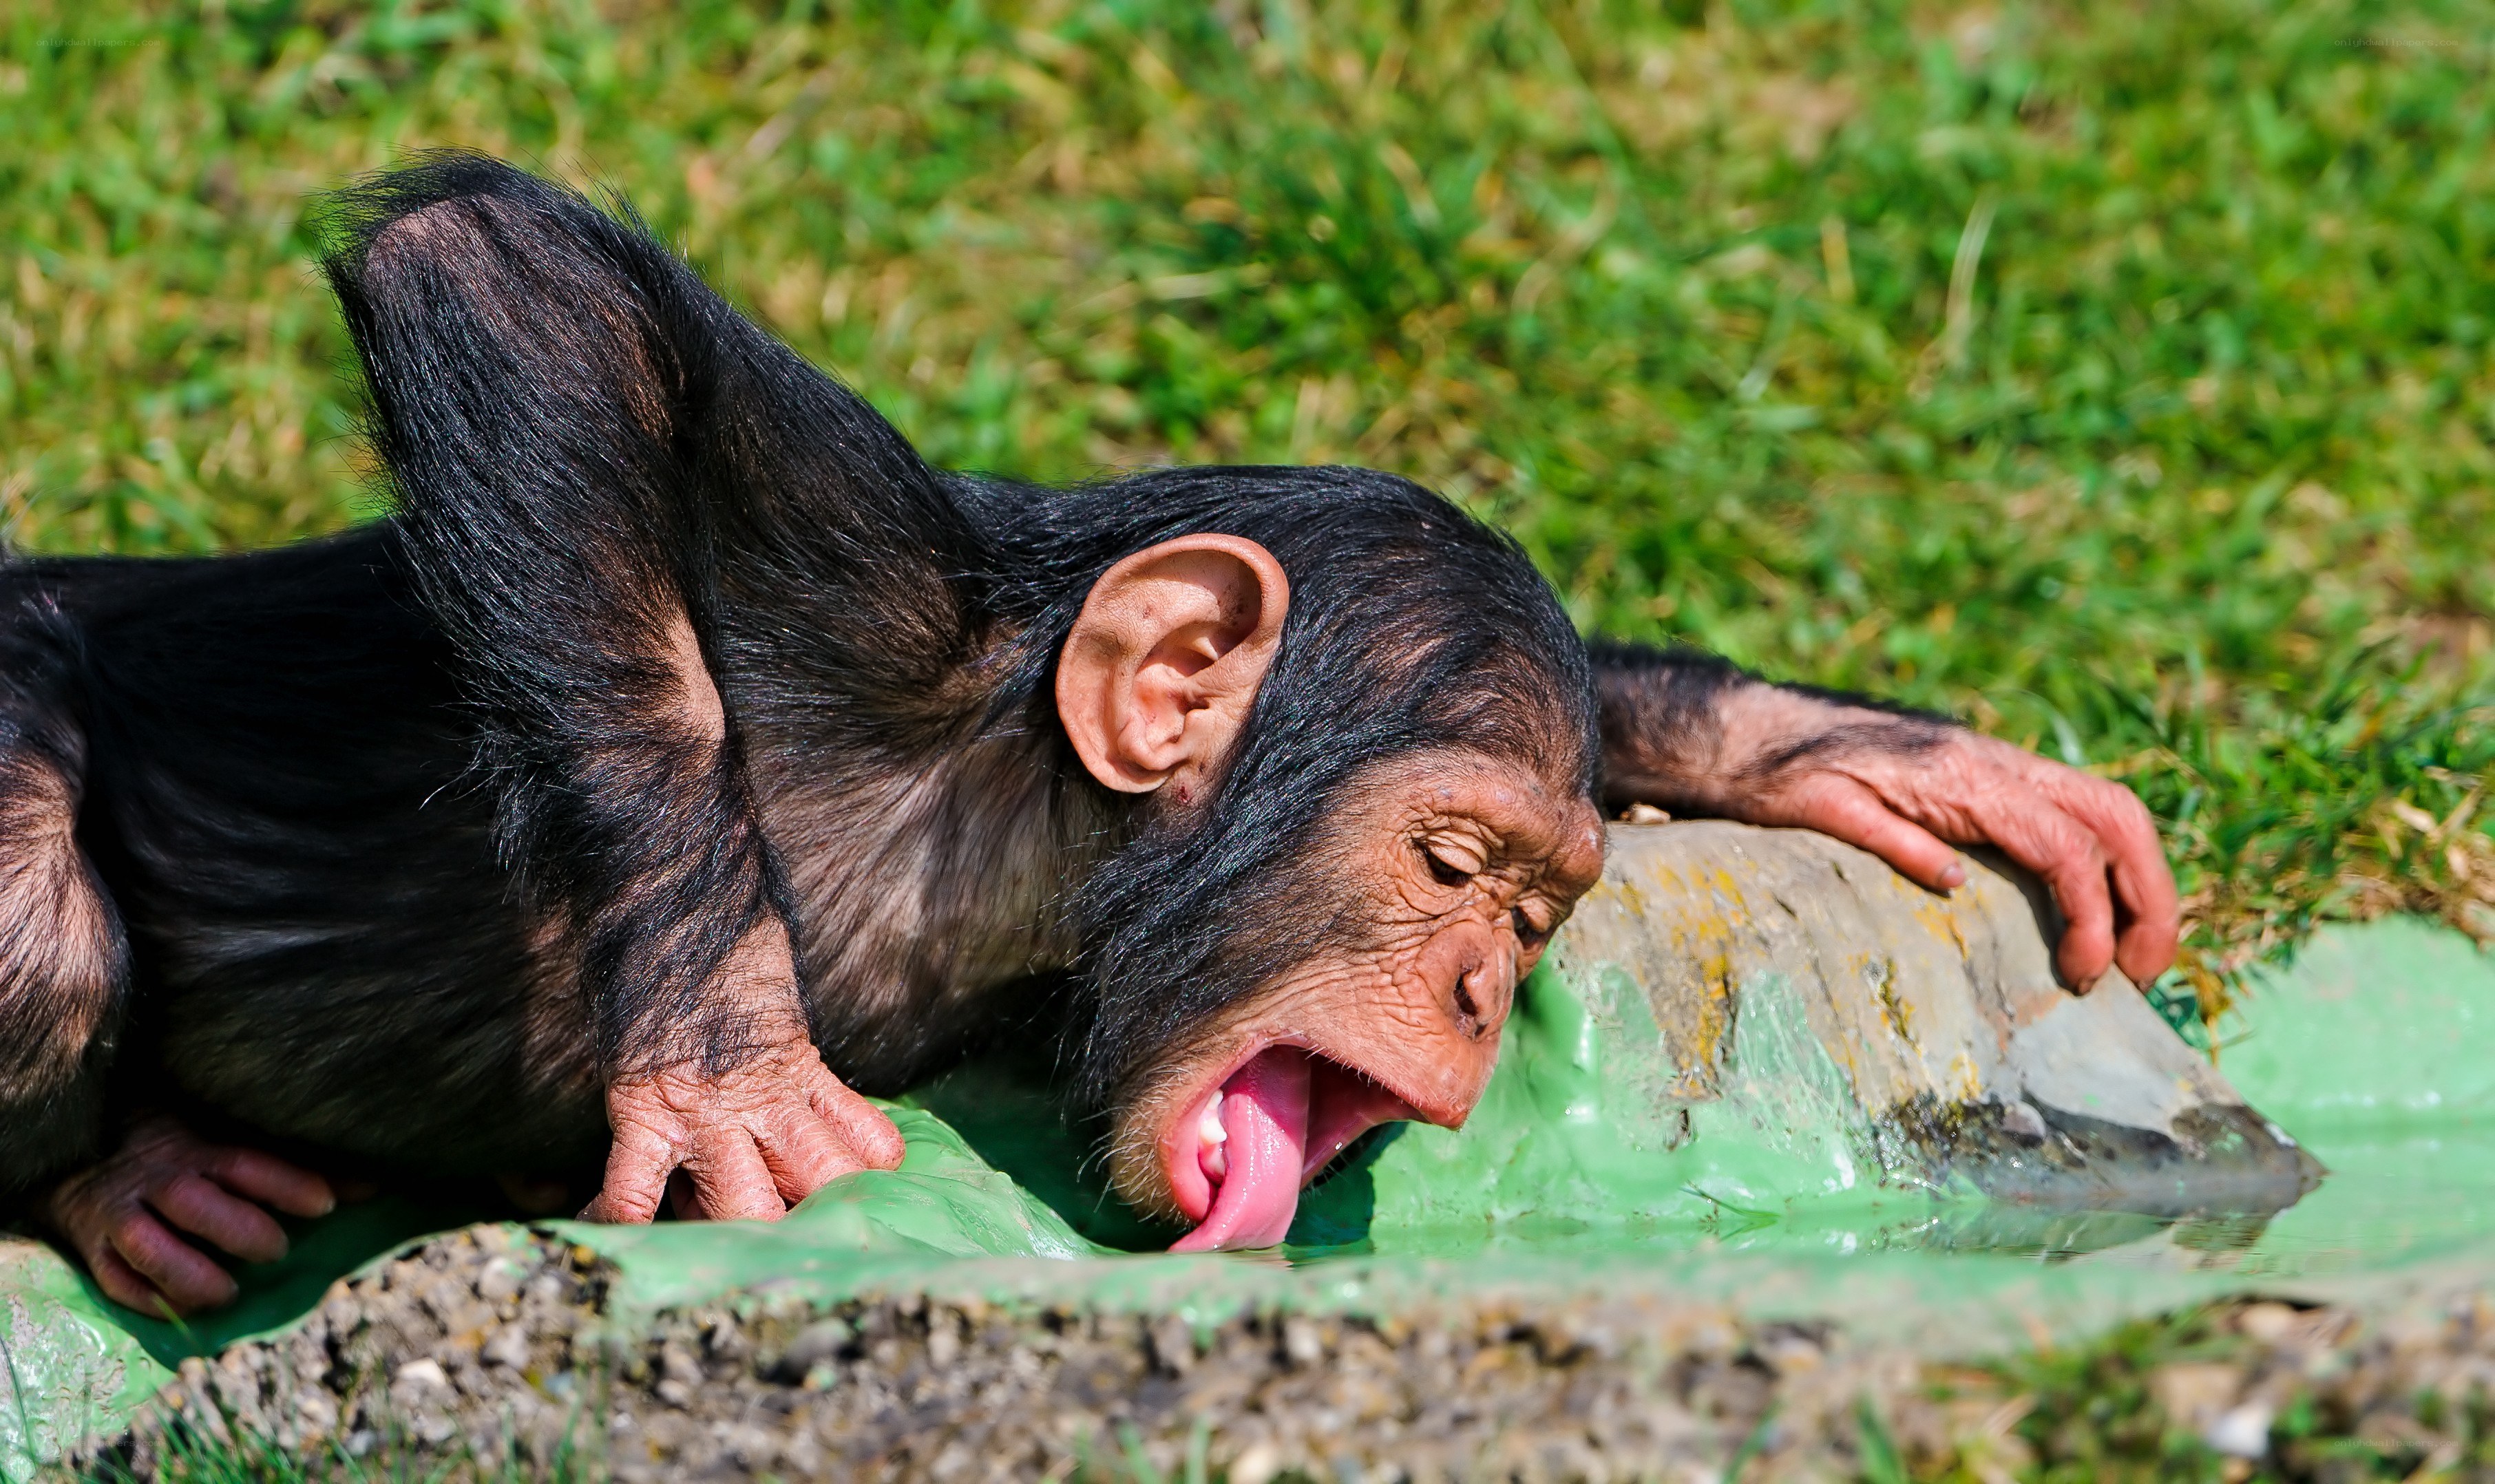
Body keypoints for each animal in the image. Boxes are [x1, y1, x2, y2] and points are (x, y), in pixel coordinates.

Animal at [0, 156, 2178, 1314]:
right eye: (1454, 866)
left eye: (1541, 916)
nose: (1482, 987)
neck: (1012, 827)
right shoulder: (860, 586)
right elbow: (505, 286)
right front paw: (727, 1058)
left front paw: (1850, 746)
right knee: (38, 902)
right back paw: (128, 1182)